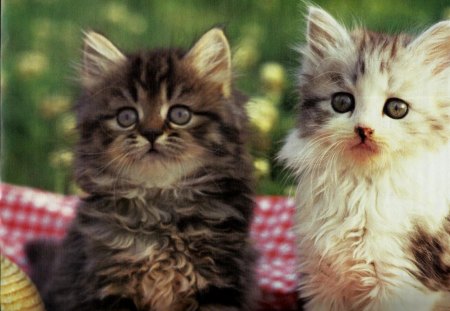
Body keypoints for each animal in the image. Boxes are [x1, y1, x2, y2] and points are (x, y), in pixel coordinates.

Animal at [27, 27, 256, 311]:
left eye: (180, 114)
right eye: (126, 117)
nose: (151, 133)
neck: (159, 204)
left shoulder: (220, 282)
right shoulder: (109, 284)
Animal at [282, 5, 450, 311]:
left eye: (396, 108)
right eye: (342, 102)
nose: (364, 129)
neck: (362, 187)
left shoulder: (401, 282)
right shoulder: (321, 280)